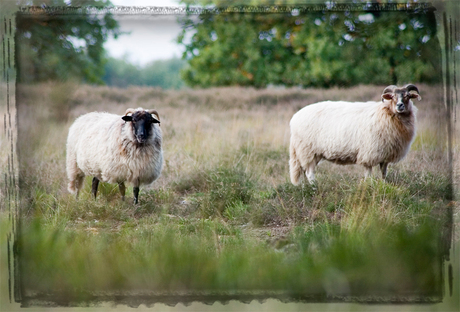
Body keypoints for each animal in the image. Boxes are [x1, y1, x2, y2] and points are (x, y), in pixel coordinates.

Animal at [290, 84, 422, 184]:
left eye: (408, 96)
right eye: (392, 97)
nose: (400, 105)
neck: (386, 112)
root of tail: (295, 117)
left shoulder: (385, 155)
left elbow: (384, 173)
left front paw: (384, 184)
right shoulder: (369, 153)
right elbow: (368, 174)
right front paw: (369, 185)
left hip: (311, 153)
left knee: (304, 171)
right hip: (307, 150)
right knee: (309, 173)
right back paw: (314, 187)